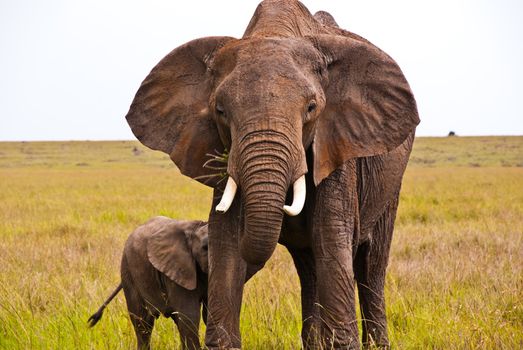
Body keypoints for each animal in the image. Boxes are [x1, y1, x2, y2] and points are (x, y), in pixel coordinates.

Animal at [88, 216, 209, 350]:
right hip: (128, 270)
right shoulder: (176, 270)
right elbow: (189, 315)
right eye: (205, 247)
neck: (195, 228)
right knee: (142, 323)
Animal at [125, 1, 420, 348]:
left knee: (369, 266)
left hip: (389, 186)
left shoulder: (336, 146)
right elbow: (226, 240)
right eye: (220, 111)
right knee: (310, 267)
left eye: (311, 108)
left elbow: (331, 237)